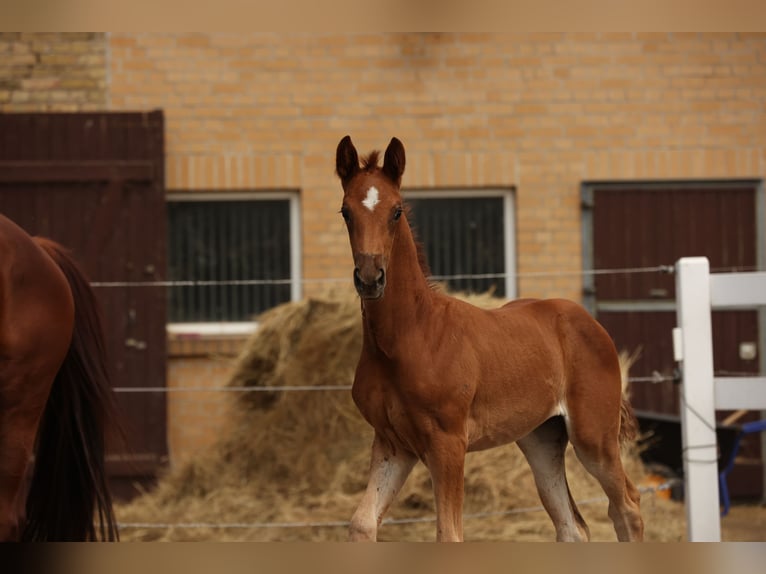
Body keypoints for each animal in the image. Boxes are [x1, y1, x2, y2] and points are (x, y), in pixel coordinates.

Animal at [340, 136, 644, 544]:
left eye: (396, 211)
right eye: (346, 212)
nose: (371, 278)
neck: (410, 335)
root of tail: (591, 324)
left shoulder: (448, 443)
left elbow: (448, 534)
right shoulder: (393, 444)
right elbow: (362, 523)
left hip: (593, 436)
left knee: (627, 506)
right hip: (541, 438)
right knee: (572, 526)